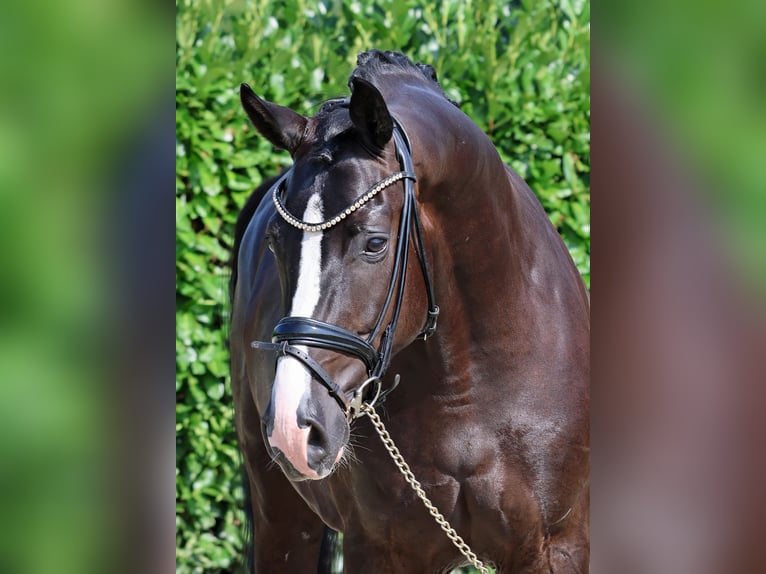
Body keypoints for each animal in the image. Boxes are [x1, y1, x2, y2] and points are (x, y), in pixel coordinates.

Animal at [231, 50, 592, 574]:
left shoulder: (555, 549)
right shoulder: (380, 548)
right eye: (275, 243)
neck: (468, 386)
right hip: (279, 507)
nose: (293, 429)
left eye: (375, 243)